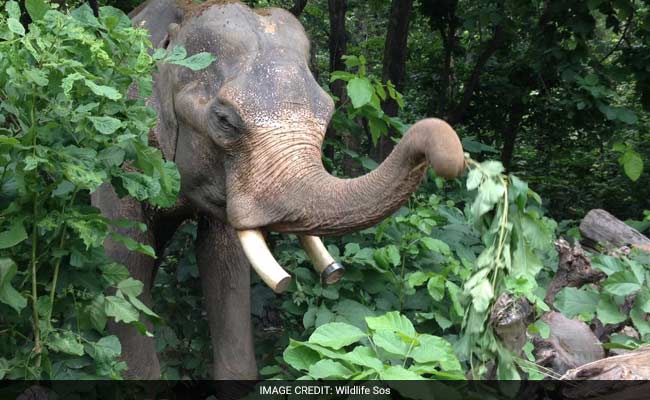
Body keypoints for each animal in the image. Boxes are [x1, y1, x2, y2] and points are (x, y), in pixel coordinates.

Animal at [92, 0, 466, 380]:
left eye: (329, 112)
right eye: (224, 121)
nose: (449, 148)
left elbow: (224, 260)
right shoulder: (118, 149)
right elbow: (122, 260)